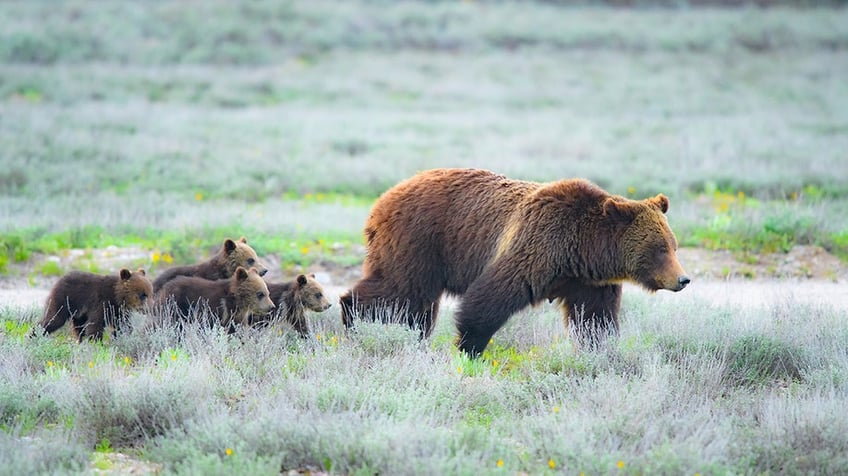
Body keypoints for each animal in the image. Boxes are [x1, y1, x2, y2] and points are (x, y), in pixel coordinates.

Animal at [342, 167, 692, 356]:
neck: (581, 250)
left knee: (415, 305)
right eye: (660, 248)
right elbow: (489, 298)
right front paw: (469, 349)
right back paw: (352, 318)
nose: (683, 279)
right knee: (400, 290)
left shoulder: (589, 282)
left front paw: (600, 351)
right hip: (419, 241)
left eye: (674, 246)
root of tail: (384, 198)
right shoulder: (536, 245)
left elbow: (595, 319)